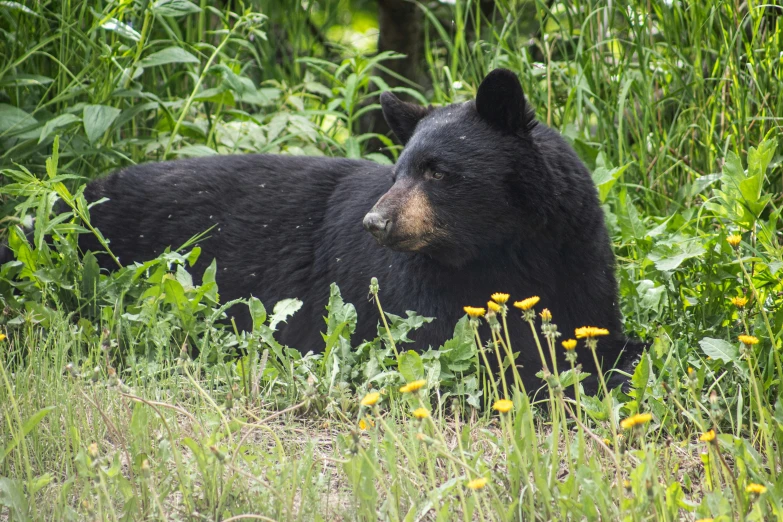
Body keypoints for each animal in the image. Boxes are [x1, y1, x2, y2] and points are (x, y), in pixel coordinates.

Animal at [59, 70, 644, 390]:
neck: (505, 251)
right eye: (398, 170)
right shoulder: (411, 295)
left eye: (436, 171)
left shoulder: (577, 255)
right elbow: (464, 349)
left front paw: (613, 363)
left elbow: (595, 329)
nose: (375, 222)